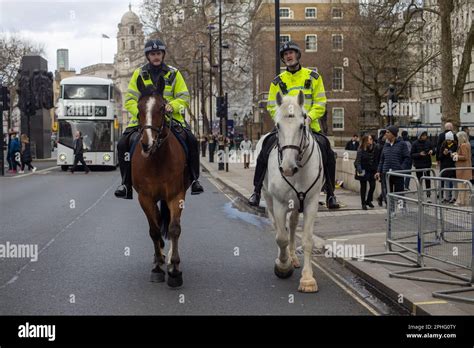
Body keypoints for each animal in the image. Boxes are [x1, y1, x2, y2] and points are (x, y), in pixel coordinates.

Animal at [131, 78, 191, 288]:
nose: (146, 143)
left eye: (162, 107)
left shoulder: (176, 195)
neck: (157, 159)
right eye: (139, 108)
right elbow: (155, 230)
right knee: (157, 220)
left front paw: (175, 269)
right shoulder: (144, 198)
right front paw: (157, 266)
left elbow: (174, 229)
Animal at [256, 90, 326, 294]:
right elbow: (281, 237)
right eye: (277, 125)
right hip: (268, 198)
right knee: (278, 228)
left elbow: (308, 240)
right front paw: (283, 266)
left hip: (296, 203)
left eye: (302, 125)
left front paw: (308, 278)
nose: (287, 168)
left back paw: (294, 257)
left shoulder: (310, 202)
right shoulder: (279, 203)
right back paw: (285, 258)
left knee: (293, 225)